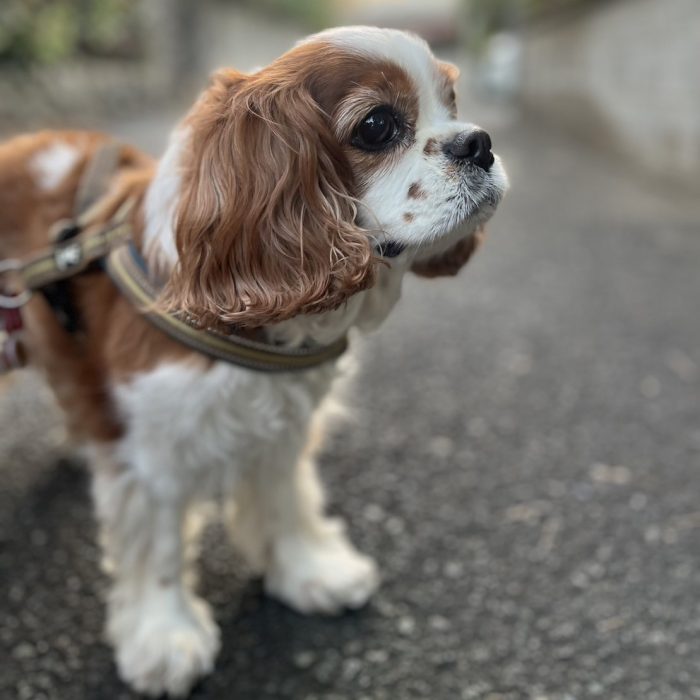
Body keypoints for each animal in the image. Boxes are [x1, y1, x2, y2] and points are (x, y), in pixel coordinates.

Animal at [0, 26, 508, 696]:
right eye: (377, 126)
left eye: (452, 103)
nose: (479, 142)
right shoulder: (154, 451)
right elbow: (159, 547)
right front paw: (164, 637)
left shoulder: (282, 426)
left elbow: (287, 498)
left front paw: (309, 570)